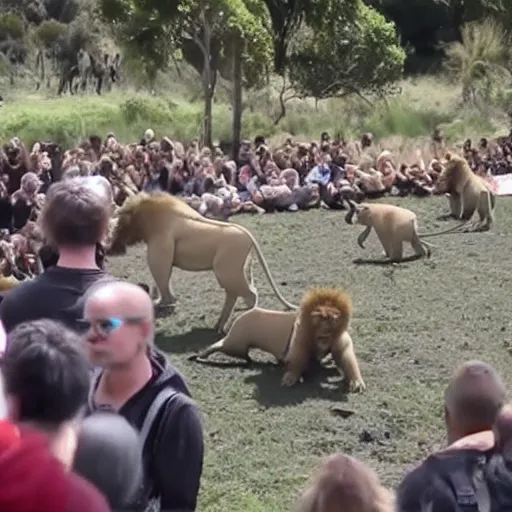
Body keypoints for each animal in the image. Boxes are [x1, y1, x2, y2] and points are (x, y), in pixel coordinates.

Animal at [106, 192, 298, 332]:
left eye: (119, 220)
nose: (110, 246)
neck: (146, 220)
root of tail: (249, 237)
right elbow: (159, 284)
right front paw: (159, 302)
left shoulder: (159, 252)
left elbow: (163, 285)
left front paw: (161, 304)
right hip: (238, 268)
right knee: (246, 292)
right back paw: (220, 324)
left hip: (225, 270)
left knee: (247, 294)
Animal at [190, 288, 366, 392]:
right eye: (321, 319)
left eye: (331, 321)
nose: (325, 334)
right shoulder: (301, 336)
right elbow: (296, 360)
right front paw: (290, 378)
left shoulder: (339, 339)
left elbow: (346, 357)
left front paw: (356, 382)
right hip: (237, 339)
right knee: (227, 346)